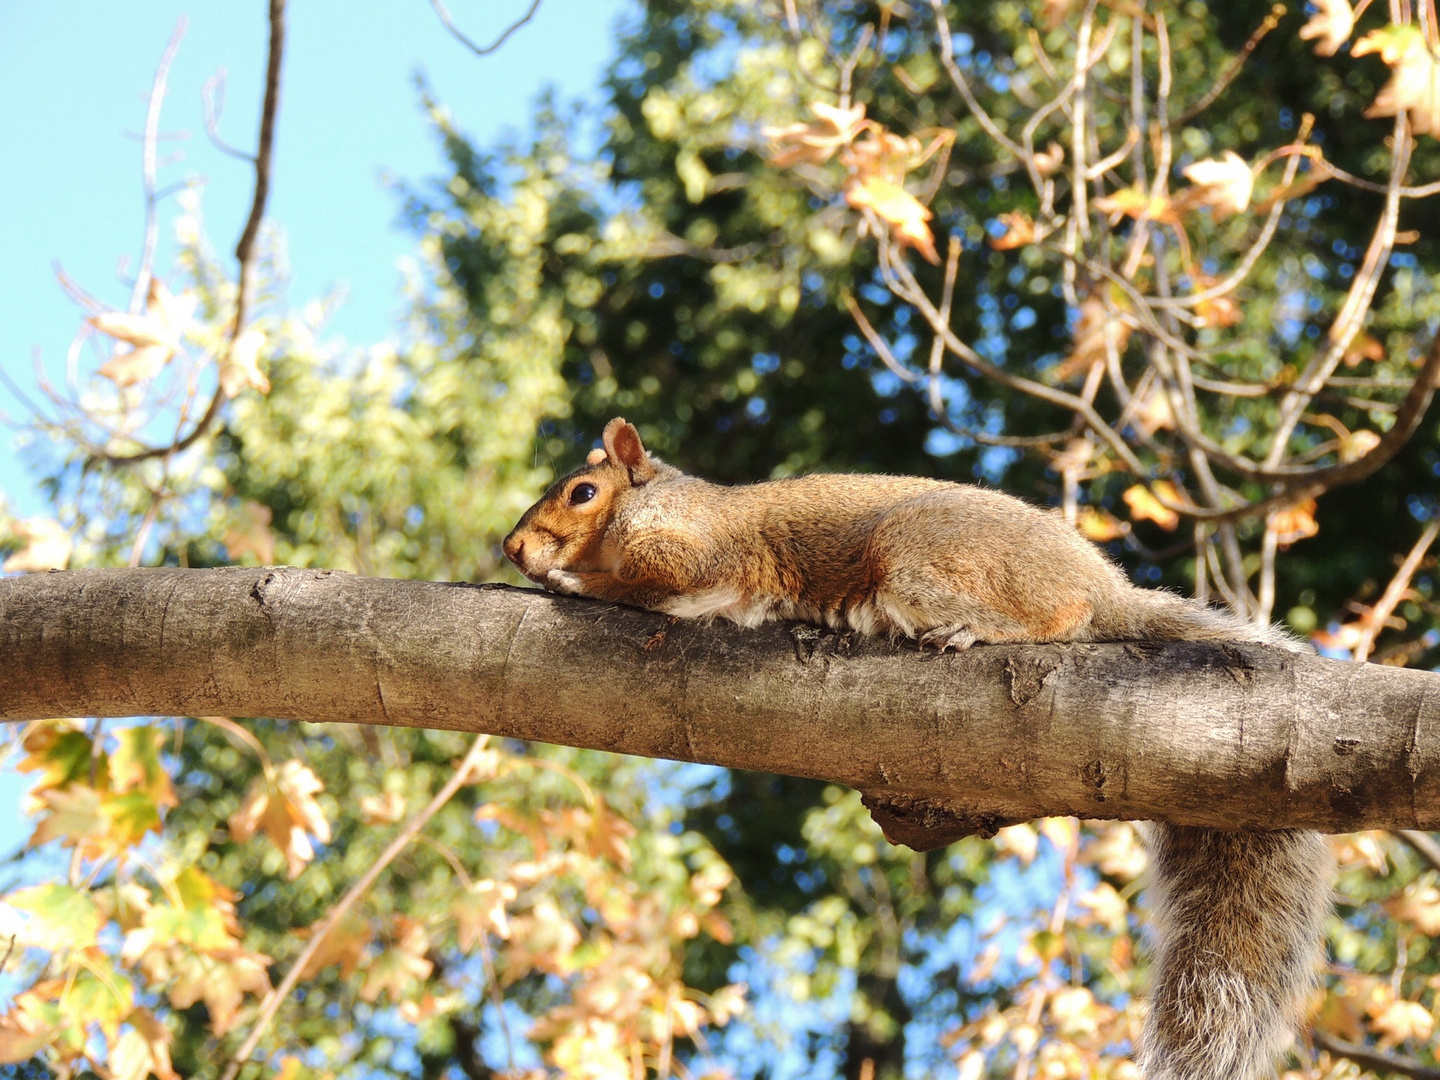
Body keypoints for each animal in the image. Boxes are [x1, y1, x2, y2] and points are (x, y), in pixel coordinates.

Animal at [509, 417, 1336, 1080]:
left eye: (582, 492)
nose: (512, 548)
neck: (655, 501)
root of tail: (1110, 588)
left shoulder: (695, 550)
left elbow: (654, 582)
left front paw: (570, 578)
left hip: (922, 557)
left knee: (1059, 618)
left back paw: (979, 629)